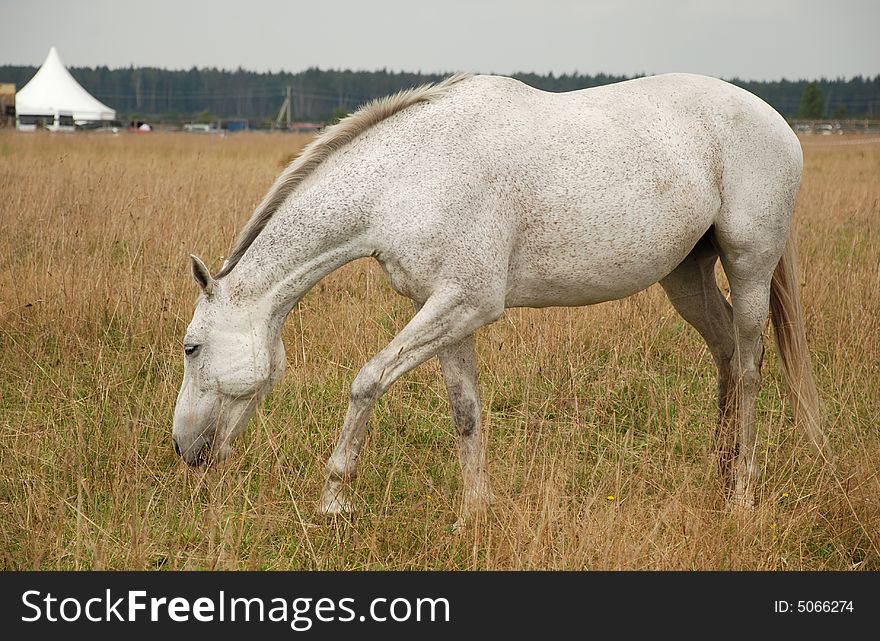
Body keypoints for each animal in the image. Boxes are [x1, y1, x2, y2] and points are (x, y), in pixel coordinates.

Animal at [170, 72, 824, 524]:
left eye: (191, 348)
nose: (183, 448)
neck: (408, 176)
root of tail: (776, 122)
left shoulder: (465, 303)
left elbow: (368, 380)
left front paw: (335, 500)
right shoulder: (445, 313)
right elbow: (466, 412)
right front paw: (474, 515)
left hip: (749, 264)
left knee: (749, 365)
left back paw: (741, 493)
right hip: (687, 277)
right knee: (725, 357)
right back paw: (718, 475)